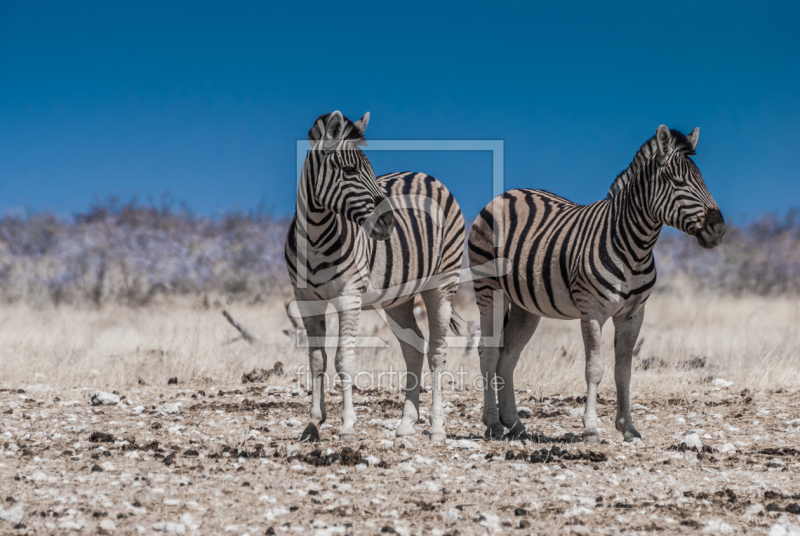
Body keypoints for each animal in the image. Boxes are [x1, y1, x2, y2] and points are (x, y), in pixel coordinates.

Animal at [284, 111, 466, 442]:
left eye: (371, 169)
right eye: (349, 170)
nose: (389, 222)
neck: (315, 235)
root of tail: (426, 175)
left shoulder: (349, 297)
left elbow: (343, 359)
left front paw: (347, 425)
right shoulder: (305, 299)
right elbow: (317, 360)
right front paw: (313, 424)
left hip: (443, 283)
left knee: (437, 351)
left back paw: (436, 427)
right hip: (398, 299)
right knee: (414, 347)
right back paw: (406, 422)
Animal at [468, 125, 724, 444]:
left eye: (703, 180)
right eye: (678, 182)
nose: (719, 229)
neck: (635, 246)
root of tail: (506, 194)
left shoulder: (633, 314)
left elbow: (623, 371)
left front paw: (628, 428)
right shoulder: (592, 311)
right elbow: (595, 369)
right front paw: (590, 429)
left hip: (526, 306)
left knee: (508, 356)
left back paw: (514, 424)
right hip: (489, 289)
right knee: (489, 353)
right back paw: (493, 424)